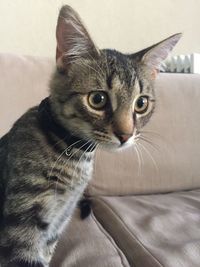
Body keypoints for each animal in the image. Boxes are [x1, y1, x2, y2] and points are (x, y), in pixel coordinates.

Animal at [0, 4, 181, 267]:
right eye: (98, 99)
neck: (71, 154)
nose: (126, 134)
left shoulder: (58, 223)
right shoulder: (21, 224)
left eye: (141, 104)